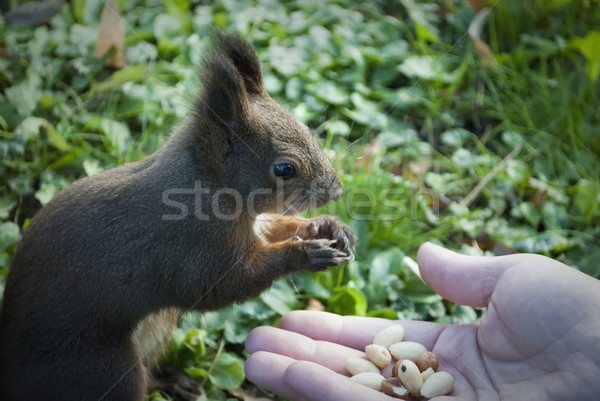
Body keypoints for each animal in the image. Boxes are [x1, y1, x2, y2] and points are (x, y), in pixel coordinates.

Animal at [0, 32, 356, 400]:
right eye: (285, 169)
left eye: (308, 130)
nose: (337, 191)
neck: (210, 185)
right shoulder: (193, 245)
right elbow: (223, 285)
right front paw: (304, 254)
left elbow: (275, 228)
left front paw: (327, 227)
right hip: (104, 367)